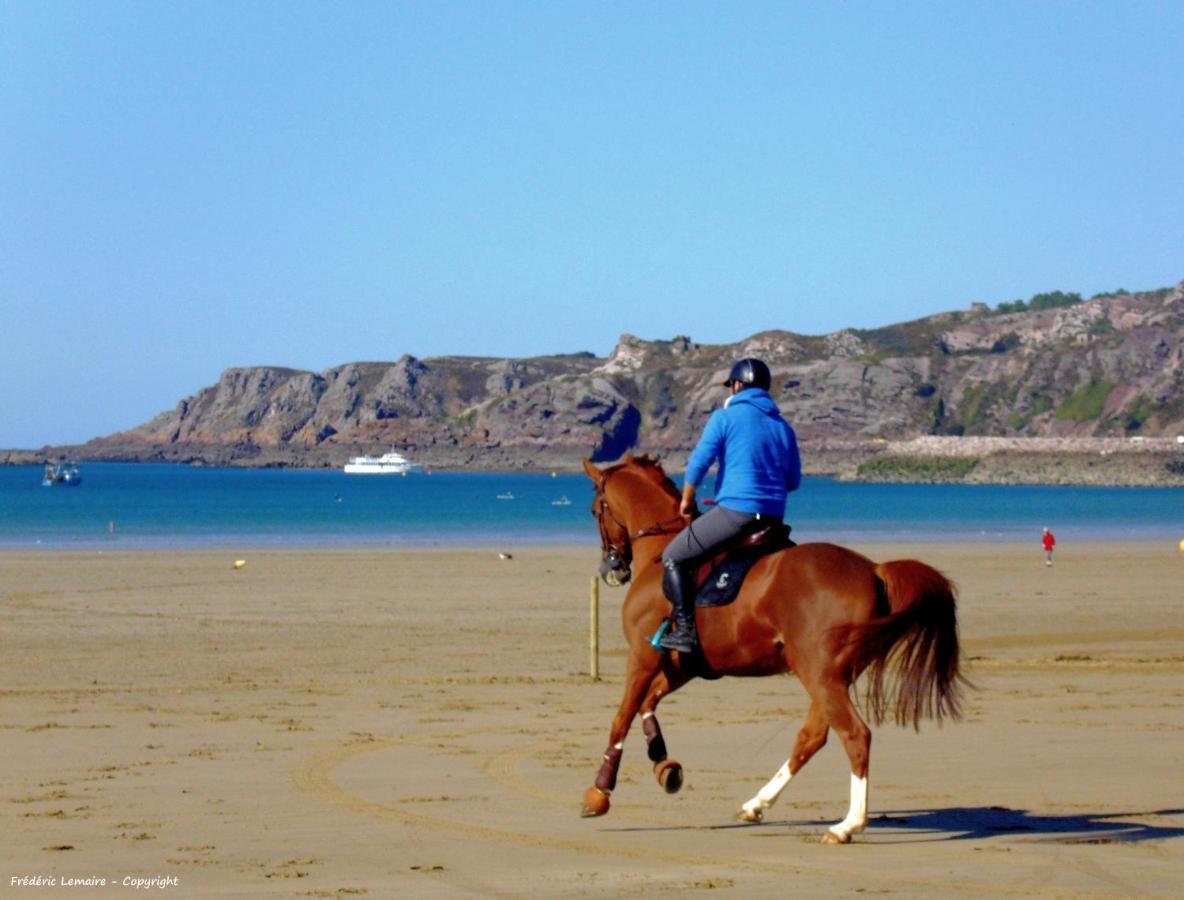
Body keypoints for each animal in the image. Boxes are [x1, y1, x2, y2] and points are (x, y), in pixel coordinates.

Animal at [580, 457, 961, 843]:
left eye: (595, 510)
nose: (611, 568)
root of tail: (873, 570)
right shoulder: (681, 666)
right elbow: (647, 704)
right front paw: (665, 765)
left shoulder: (643, 657)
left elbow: (622, 717)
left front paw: (600, 791)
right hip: (830, 677)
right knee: (812, 737)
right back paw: (757, 804)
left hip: (819, 675)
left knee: (855, 735)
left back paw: (847, 824)